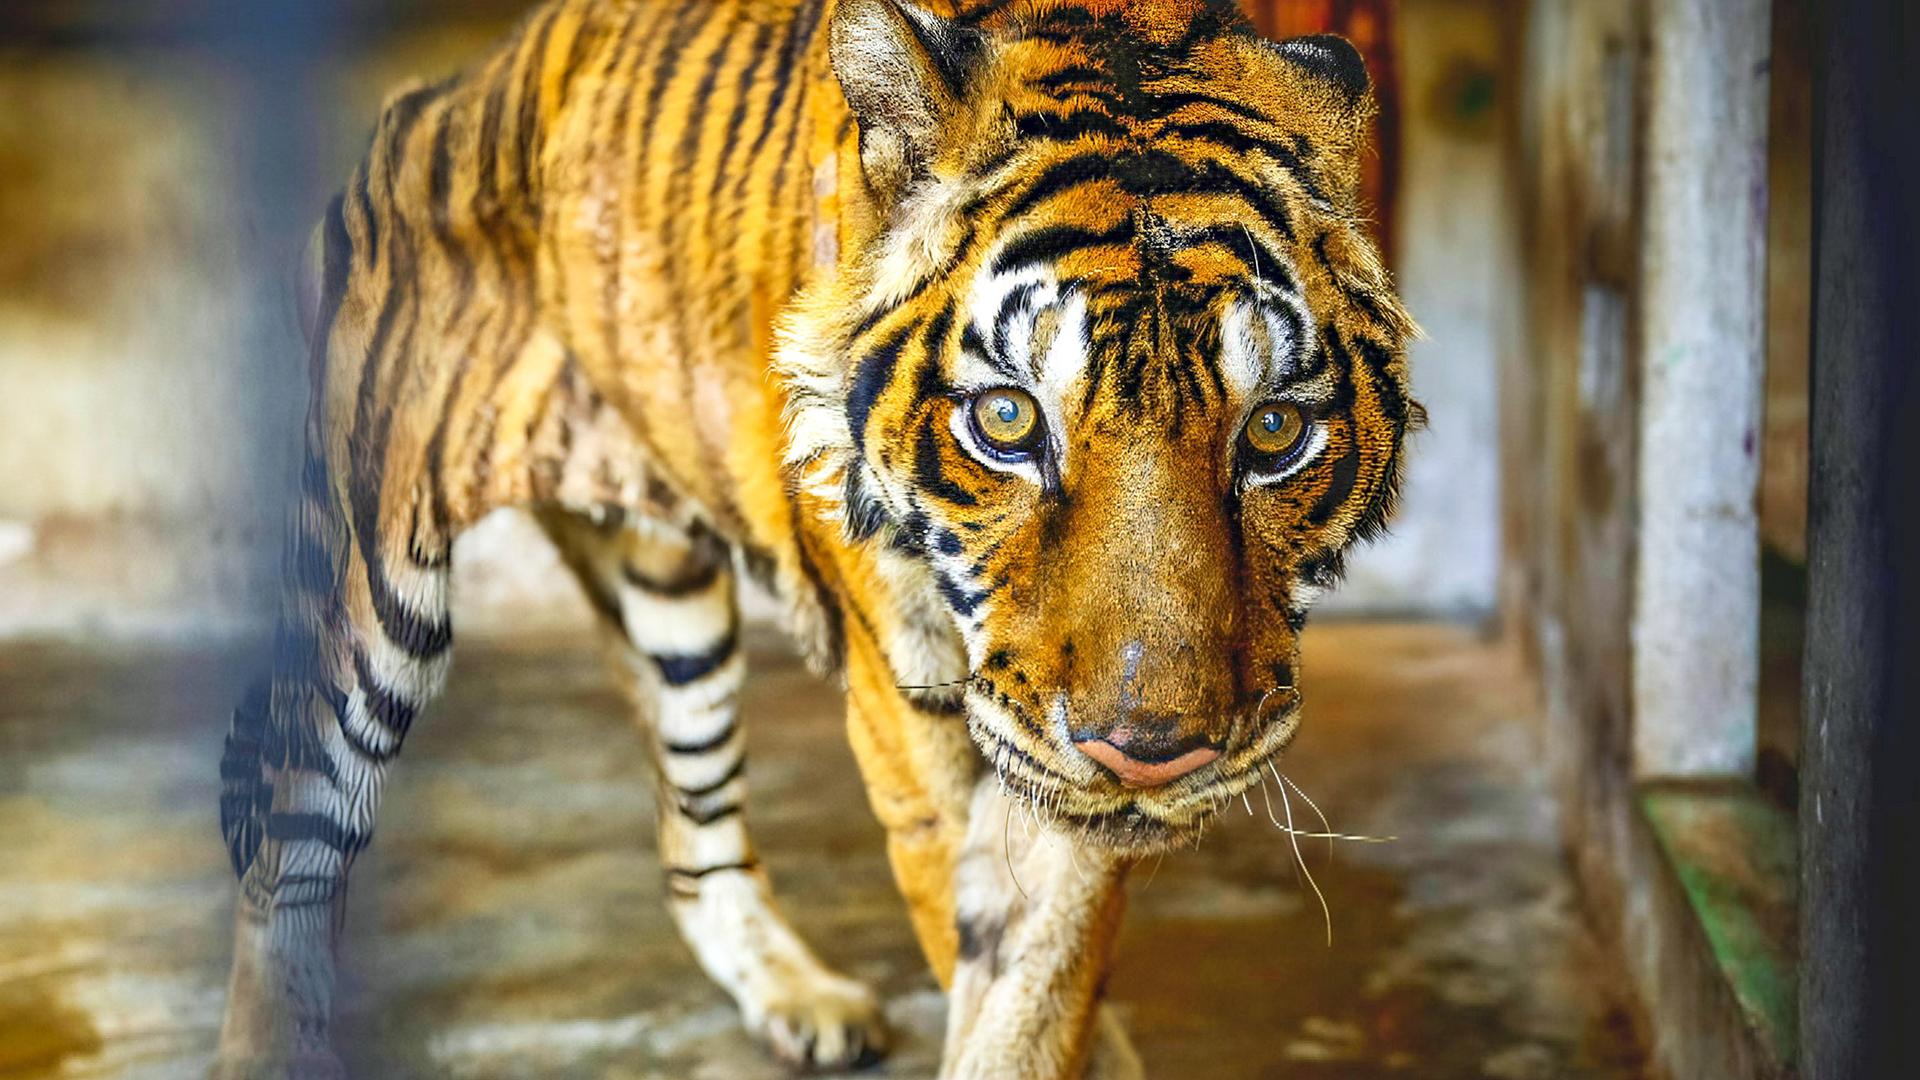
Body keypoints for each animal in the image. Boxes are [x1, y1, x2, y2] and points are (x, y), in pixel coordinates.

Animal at [211, 0, 1417, 1076]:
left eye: (1274, 431)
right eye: (1008, 419)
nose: (1152, 753)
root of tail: (437, 92)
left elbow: (1040, 980)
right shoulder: (931, 721)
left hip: (669, 609)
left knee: (692, 838)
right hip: (371, 587)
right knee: (289, 852)